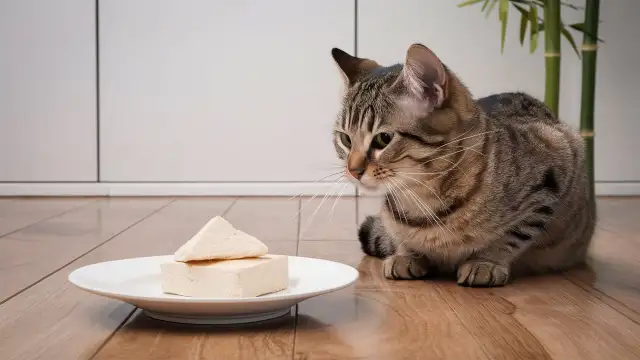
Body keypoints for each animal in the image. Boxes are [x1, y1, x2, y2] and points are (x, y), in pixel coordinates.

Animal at [330, 43, 596, 286]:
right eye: (345, 139)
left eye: (383, 139)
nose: (353, 171)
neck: (421, 200)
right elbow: (400, 236)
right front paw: (406, 254)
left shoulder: (556, 169)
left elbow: (514, 234)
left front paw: (486, 263)